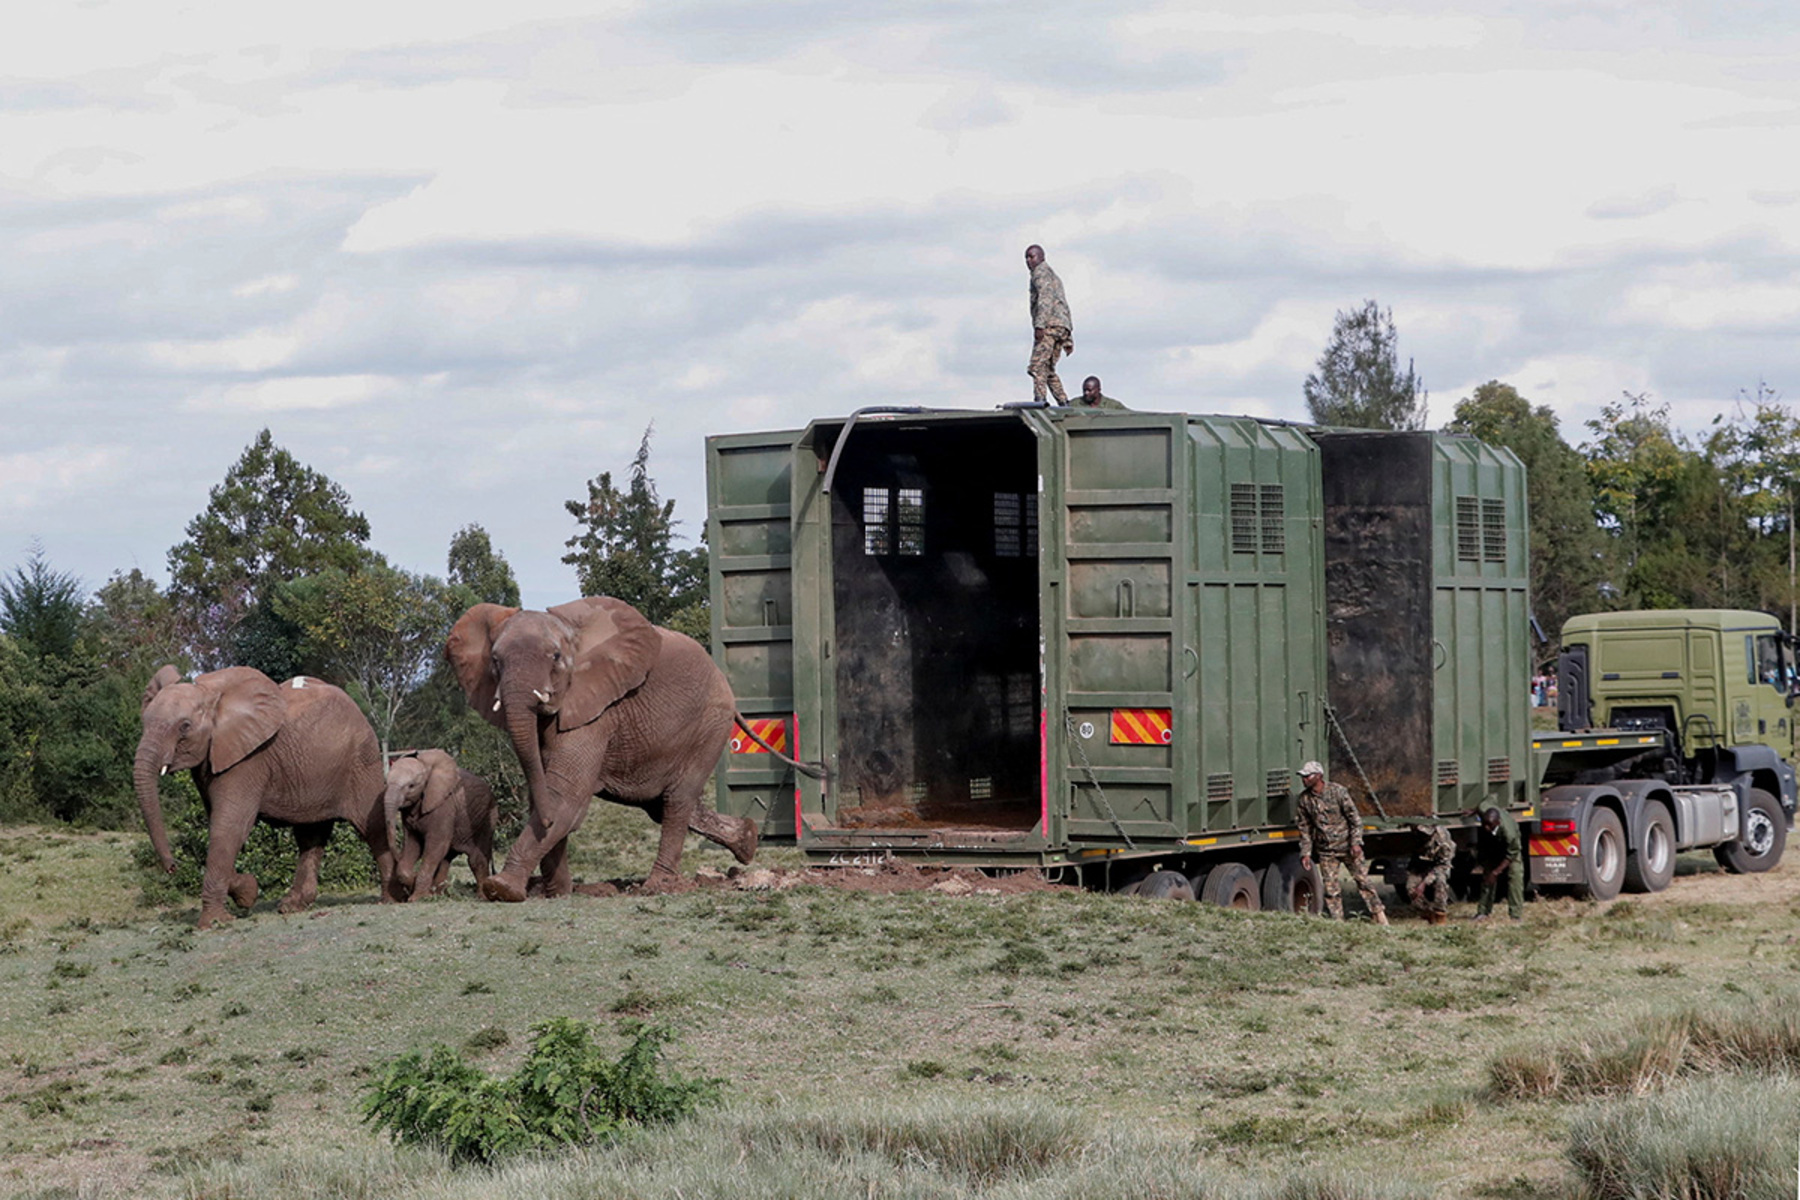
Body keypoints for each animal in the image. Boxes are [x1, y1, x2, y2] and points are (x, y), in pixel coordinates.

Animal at [135, 665, 396, 928]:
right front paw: (247, 892)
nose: (172, 868)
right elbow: (219, 826)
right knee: (310, 835)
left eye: (185, 726)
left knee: (371, 825)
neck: (213, 697)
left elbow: (229, 826)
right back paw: (292, 906)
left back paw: (391, 898)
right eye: (143, 722)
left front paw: (215, 922)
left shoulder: (248, 760)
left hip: (361, 761)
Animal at [385, 752, 500, 899]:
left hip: (487, 817)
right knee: (446, 858)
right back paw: (438, 893)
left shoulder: (444, 806)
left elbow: (435, 846)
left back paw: (482, 897)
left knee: (476, 858)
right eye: (385, 783)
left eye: (411, 786)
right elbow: (413, 844)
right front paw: (420, 890)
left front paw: (417, 898)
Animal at [446, 597, 770, 895]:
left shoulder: (595, 711)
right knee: (661, 804)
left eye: (555, 656)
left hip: (710, 726)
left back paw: (657, 886)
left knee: (677, 801)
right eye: (495, 661)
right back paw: (748, 840)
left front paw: (502, 888)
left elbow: (566, 795)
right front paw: (558, 892)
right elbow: (546, 791)